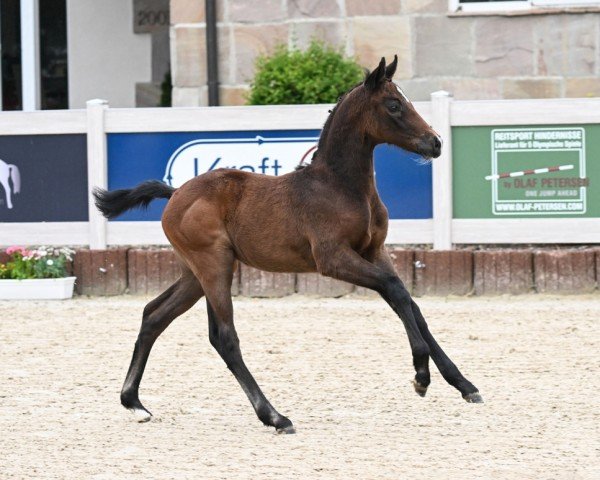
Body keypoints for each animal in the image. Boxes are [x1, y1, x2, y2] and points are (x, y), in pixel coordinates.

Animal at [95, 56, 482, 436]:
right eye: (393, 105)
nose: (435, 143)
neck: (340, 187)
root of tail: (175, 192)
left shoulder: (375, 252)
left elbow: (410, 305)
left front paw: (463, 384)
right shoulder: (333, 258)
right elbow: (396, 291)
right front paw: (421, 376)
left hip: (196, 273)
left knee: (154, 315)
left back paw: (134, 403)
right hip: (214, 265)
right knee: (224, 337)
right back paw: (275, 416)